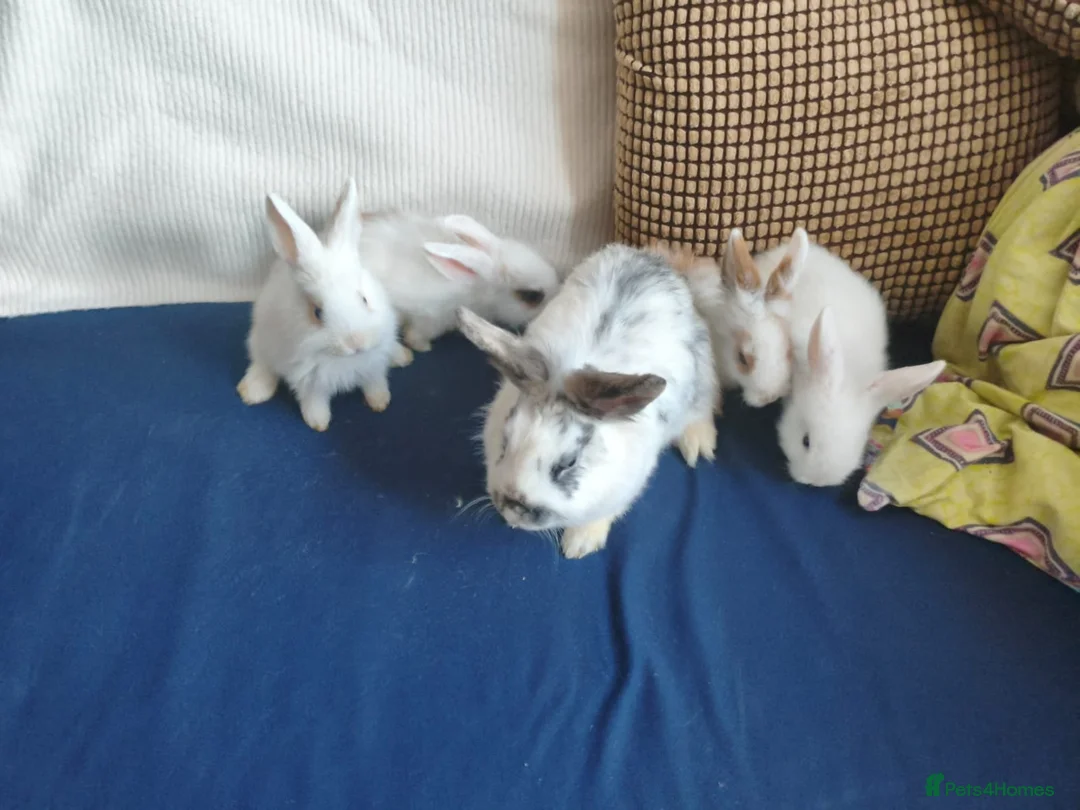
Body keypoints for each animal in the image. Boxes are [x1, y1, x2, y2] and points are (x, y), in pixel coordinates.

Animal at [236, 178, 412, 431]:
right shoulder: (310, 380)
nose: (356, 343)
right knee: (261, 363)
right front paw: (318, 423)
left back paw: (403, 356)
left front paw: (380, 402)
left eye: (364, 299)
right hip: (260, 341)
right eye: (317, 312)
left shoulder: (373, 366)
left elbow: (375, 384)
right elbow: (315, 402)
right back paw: (253, 391)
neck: (346, 360)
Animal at [458, 243, 719, 560]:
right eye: (505, 442)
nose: (513, 508)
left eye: (568, 463)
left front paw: (578, 545)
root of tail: (661, 262)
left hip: (702, 377)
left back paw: (699, 446)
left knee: (704, 407)